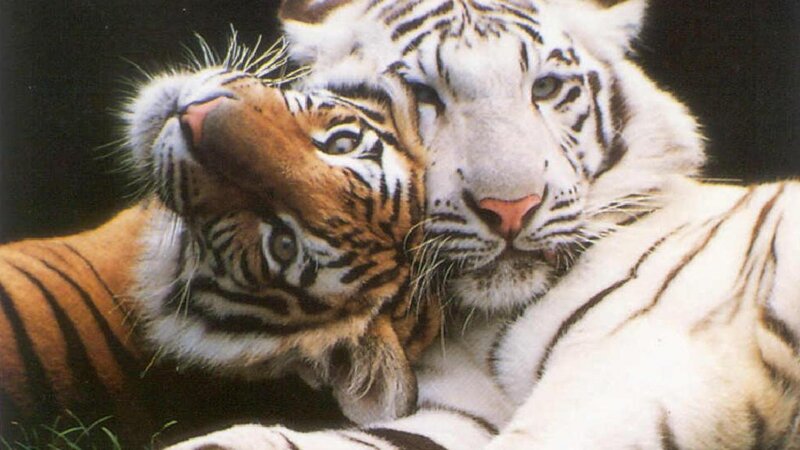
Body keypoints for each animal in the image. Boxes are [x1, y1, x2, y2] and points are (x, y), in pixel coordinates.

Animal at [163, 0, 800, 449]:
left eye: (546, 88)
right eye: (422, 93)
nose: (511, 208)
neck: (474, 321)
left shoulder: (654, 357)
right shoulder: (458, 412)